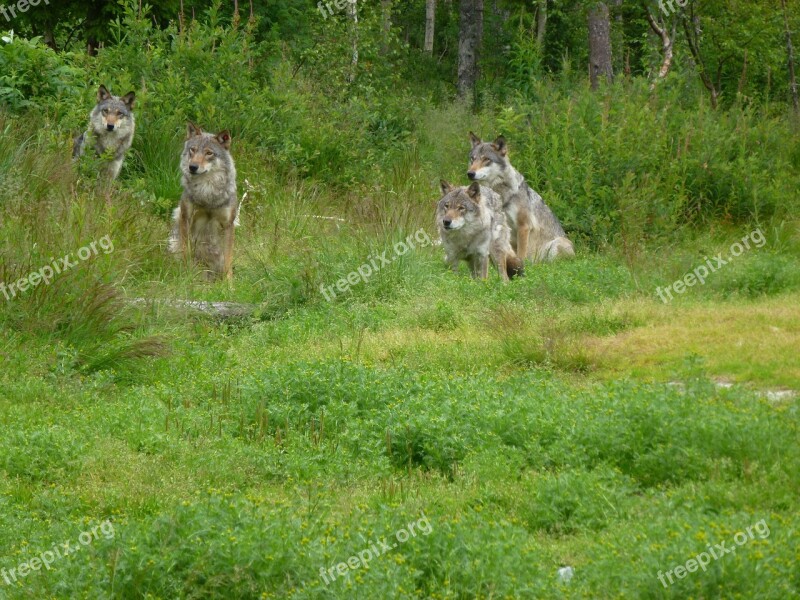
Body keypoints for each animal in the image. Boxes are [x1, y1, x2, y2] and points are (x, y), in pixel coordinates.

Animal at [169, 123, 238, 282]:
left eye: (209, 153)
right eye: (192, 150)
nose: (192, 167)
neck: (207, 192)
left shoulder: (228, 224)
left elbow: (228, 259)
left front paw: (229, 283)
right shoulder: (186, 217)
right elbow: (186, 251)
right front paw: (186, 274)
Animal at [468, 134, 576, 262]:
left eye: (486, 159)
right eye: (472, 159)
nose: (470, 173)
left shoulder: (524, 226)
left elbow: (521, 252)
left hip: (556, 244)